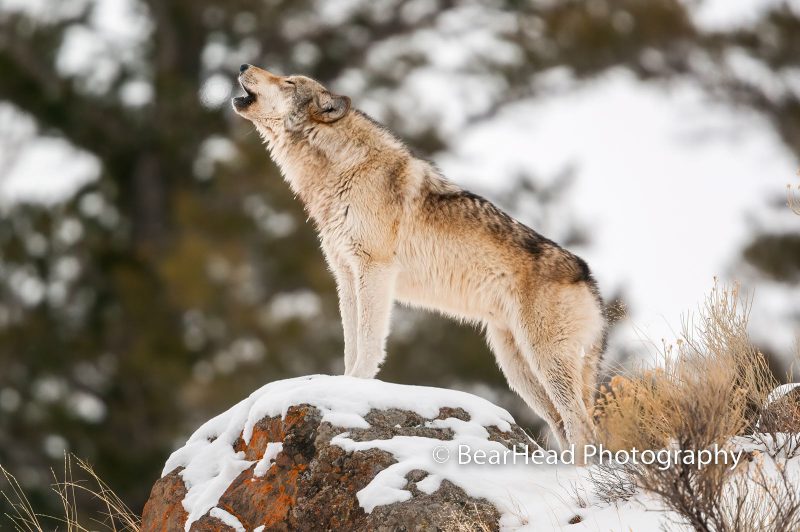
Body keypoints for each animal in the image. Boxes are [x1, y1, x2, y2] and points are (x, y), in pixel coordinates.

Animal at [231, 64, 608, 450]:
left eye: (288, 82)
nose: (244, 66)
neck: (344, 170)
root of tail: (589, 278)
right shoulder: (346, 275)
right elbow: (351, 342)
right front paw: (344, 383)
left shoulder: (375, 270)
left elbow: (368, 342)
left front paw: (357, 386)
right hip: (517, 369)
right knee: (562, 423)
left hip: (543, 360)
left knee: (581, 424)